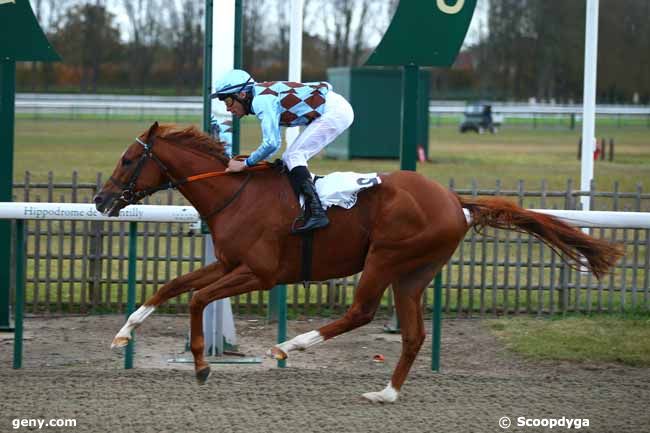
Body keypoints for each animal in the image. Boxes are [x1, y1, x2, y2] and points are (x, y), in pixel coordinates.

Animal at [93, 123, 620, 404]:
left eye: (127, 159)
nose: (100, 200)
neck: (234, 192)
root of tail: (456, 201)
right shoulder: (229, 263)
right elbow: (172, 287)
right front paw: (123, 333)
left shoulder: (259, 273)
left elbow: (197, 298)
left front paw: (203, 364)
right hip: (414, 274)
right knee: (413, 335)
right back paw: (386, 393)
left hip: (386, 257)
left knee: (361, 312)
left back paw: (290, 346)